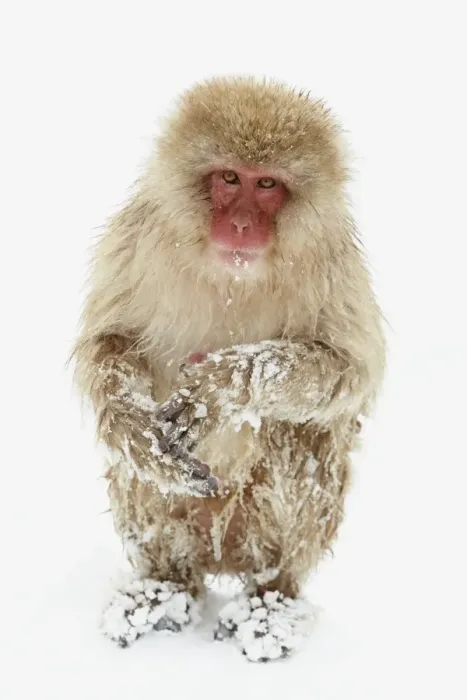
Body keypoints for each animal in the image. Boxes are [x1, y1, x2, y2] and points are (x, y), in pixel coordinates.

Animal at [72, 76, 385, 662]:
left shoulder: (333, 264)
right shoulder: (137, 238)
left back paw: (270, 605)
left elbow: (349, 372)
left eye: (267, 184)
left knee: (299, 441)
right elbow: (110, 345)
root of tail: (221, 556)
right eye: (229, 178)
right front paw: (133, 423)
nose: (240, 224)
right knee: (152, 489)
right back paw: (165, 589)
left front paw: (223, 386)